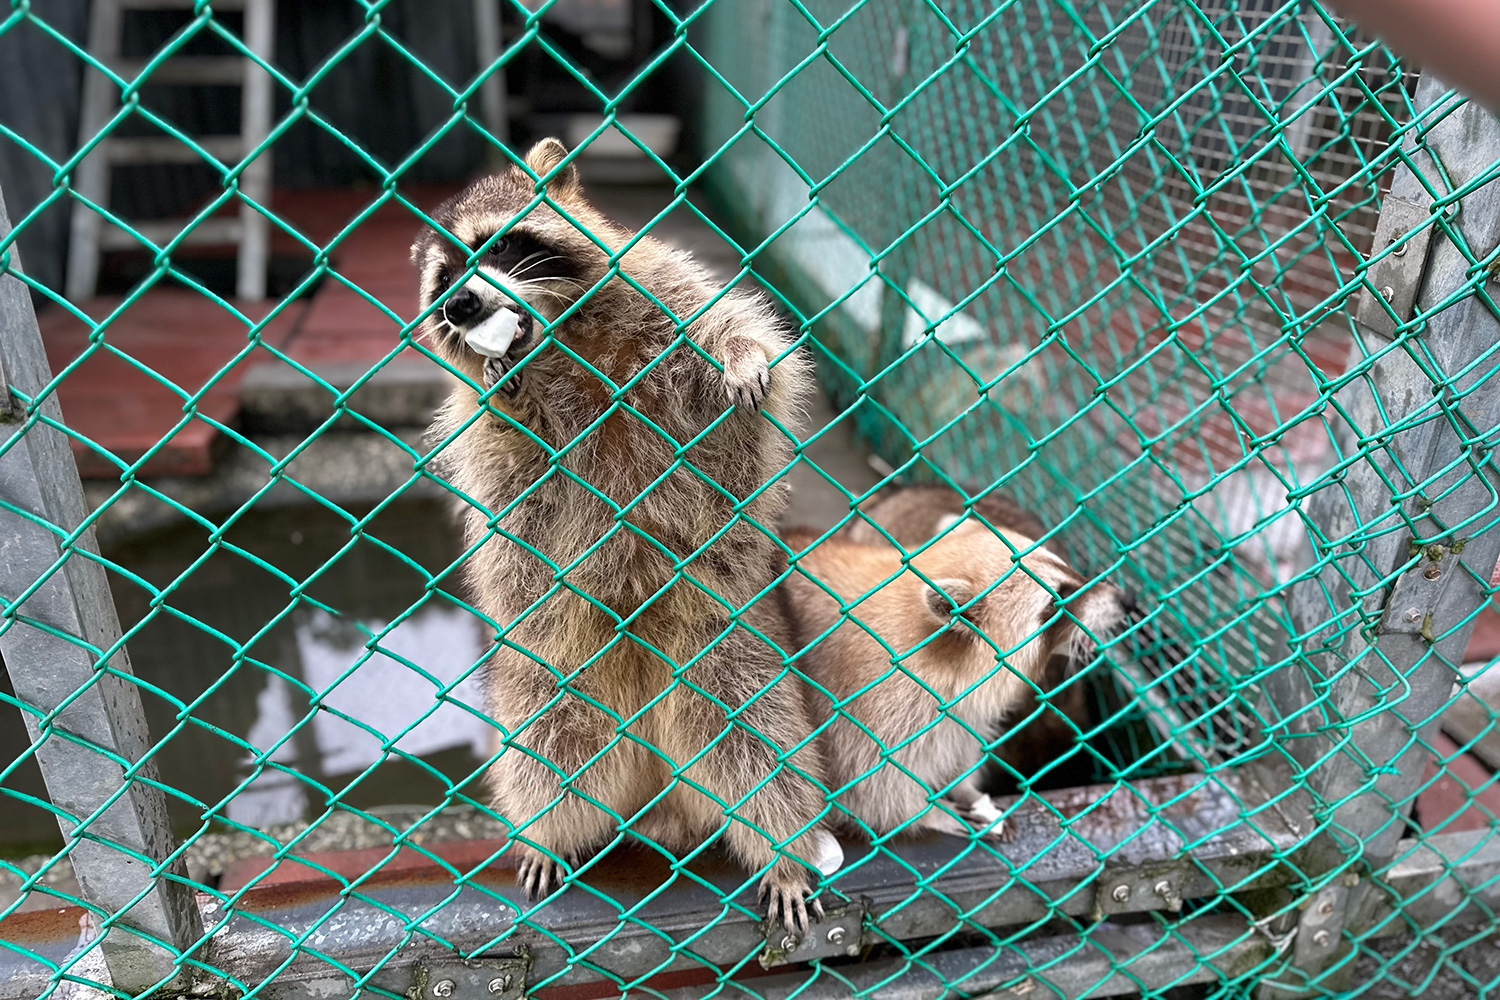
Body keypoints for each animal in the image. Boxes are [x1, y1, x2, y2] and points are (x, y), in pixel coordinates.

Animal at [411, 140, 834, 929]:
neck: (564, 339)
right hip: (547, 671)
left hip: (728, 647)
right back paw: (545, 831)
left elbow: (738, 352)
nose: (463, 306)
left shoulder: (671, 304)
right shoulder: (483, 431)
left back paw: (784, 846)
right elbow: (505, 458)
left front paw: (743, 357)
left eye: (498, 246)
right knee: (545, 754)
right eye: (442, 281)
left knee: (759, 748)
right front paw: (505, 380)